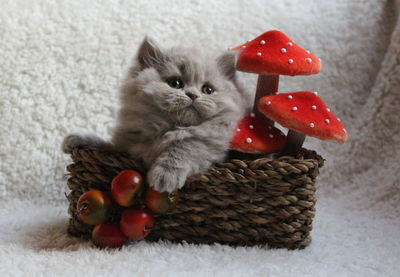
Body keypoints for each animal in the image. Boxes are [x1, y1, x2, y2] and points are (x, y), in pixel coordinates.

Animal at [62, 37, 247, 192]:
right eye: (176, 83)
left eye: (208, 90)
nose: (193, 95)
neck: (166, 128)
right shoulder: (125, 147)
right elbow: (105, 144)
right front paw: (76, 138)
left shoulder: (213, 145)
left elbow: (186, 146)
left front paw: (165, 175)